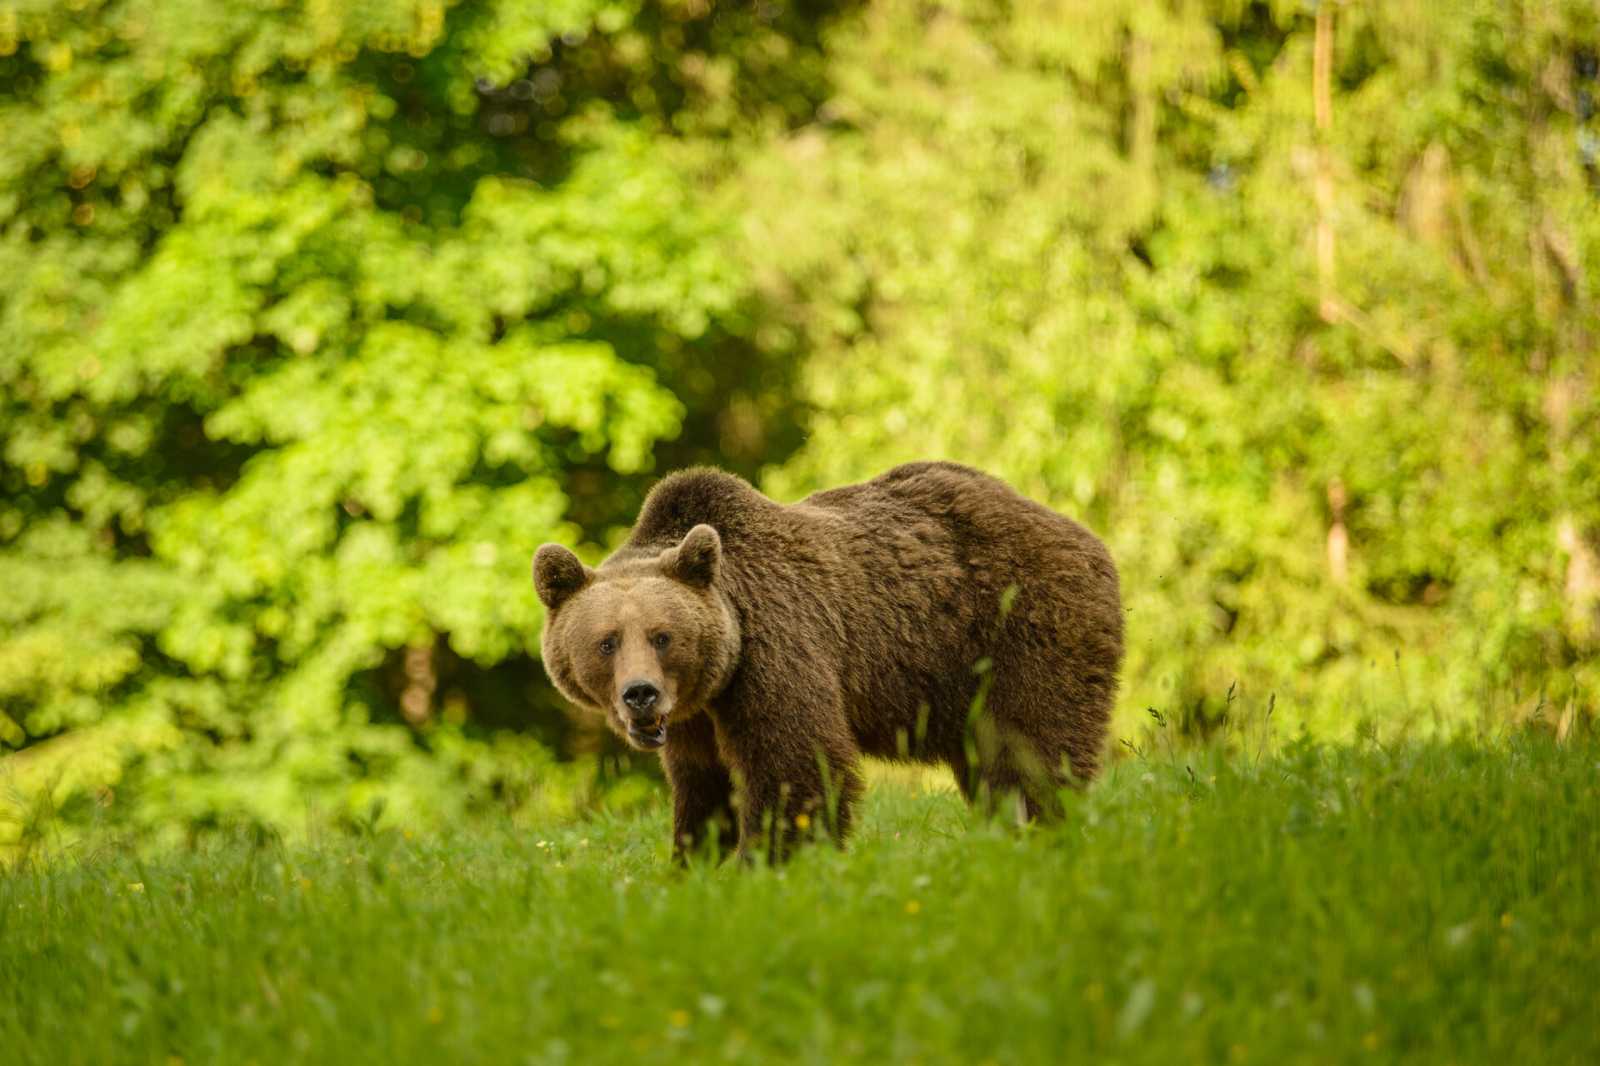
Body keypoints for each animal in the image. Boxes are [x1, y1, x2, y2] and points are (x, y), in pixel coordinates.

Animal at [534, 460, 1126, 857]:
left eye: (662, 636)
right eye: (607, 641)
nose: (641, 694)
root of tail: (1079, 532)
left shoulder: (776, 649)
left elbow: (795, 766)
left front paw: (768, 864)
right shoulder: (694, 720)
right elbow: (702, 789)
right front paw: (693, 864)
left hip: (1023, 627)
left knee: (1033, 748)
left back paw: (1041, 826)